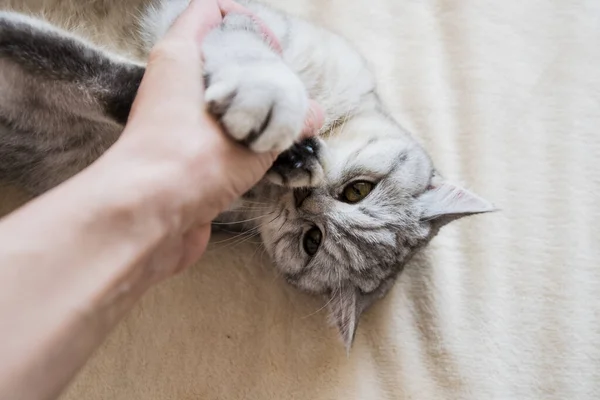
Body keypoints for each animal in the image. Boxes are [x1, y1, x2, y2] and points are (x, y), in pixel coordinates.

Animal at [0, 0, 494, 350]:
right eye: (358, 191)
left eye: (311, 241)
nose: (304, 198)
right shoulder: (228, 19)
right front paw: (276, 112)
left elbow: (96, 81)